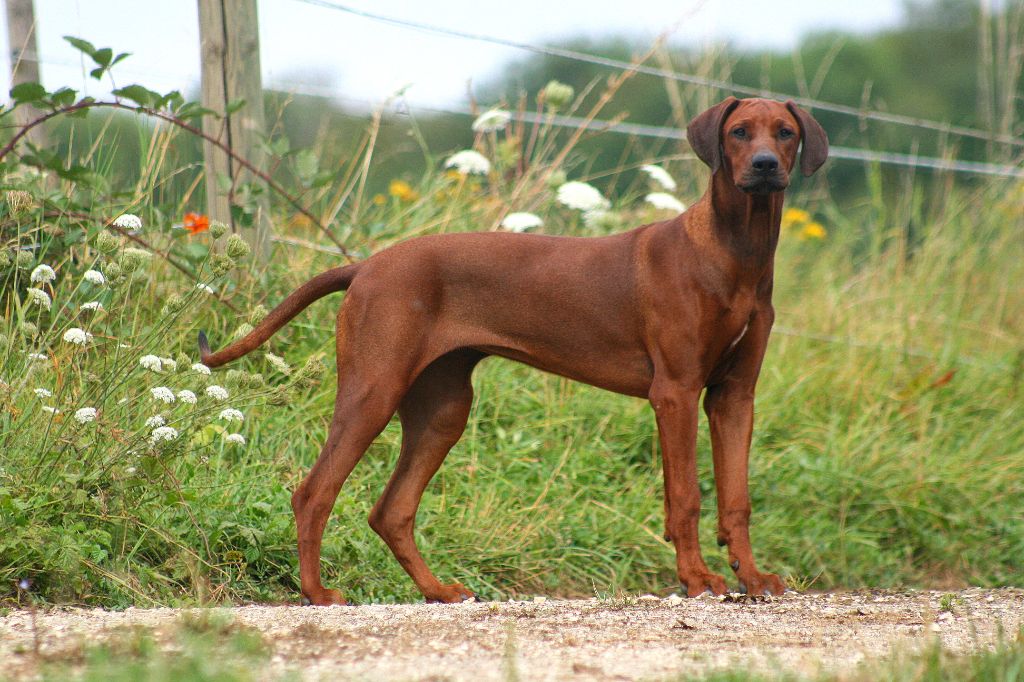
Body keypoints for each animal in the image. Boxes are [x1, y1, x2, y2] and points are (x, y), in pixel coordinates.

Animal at [197, 96, 823, 606]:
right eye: (738, 132)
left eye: (784, 132)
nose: (764, 166)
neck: (734, 253)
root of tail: (367, 264)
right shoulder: (674, 392)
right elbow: (686, 496)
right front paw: (697, 580)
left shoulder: (733, 397)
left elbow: (737, 499)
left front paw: (752, 578)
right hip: (373, 390)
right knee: (314, 492)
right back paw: (317, 593)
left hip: (442, 409)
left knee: (390, 511)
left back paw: (436, 591)